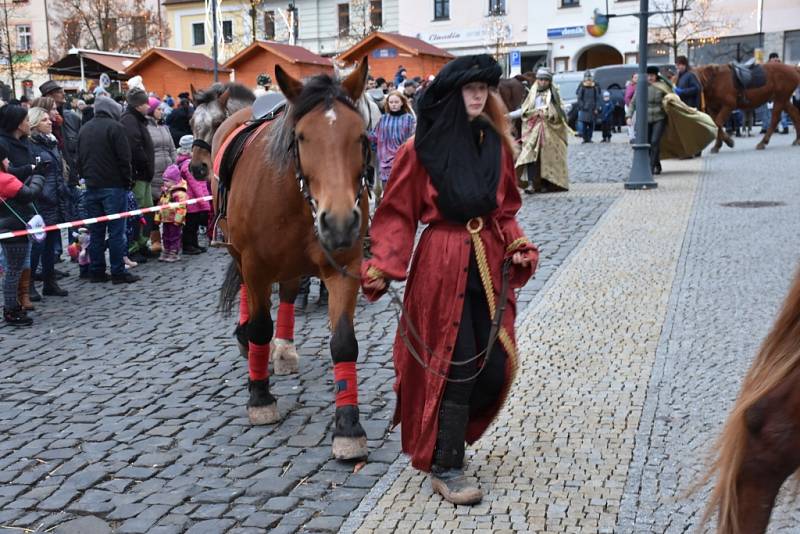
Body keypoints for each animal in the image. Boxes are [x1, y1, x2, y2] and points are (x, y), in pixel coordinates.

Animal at [216, 58, 372, 460]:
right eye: (302, 137)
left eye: (360, 135)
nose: (339, 222)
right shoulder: (255, 265)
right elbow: (259, 326)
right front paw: (259, 397)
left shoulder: (344, 267)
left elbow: (344, 342)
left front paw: (347, 426)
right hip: (238, 252)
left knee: (286, 291)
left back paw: (284, 349)